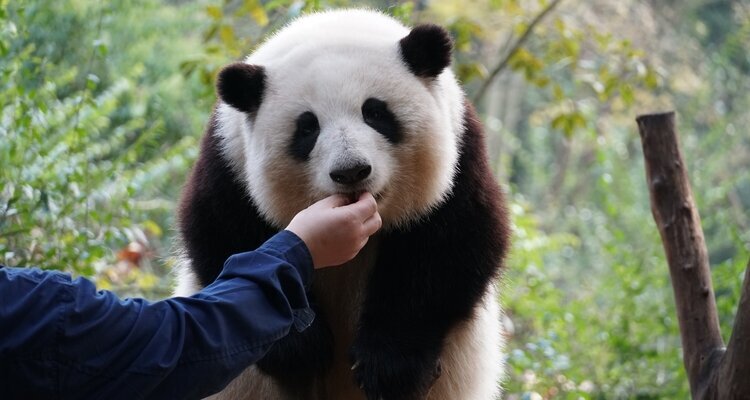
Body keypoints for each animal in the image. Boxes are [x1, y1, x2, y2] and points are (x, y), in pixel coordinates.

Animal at [174, 9, 510, 400]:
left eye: (375, 113)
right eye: (307, 128)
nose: (351, 171)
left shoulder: (459, 156)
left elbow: (449, 250)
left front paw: (391, 367)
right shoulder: (230, 164)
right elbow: (225, 238)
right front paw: (300, 347)